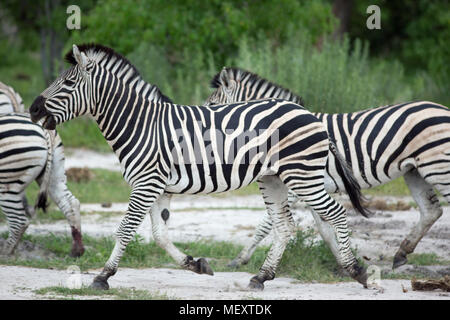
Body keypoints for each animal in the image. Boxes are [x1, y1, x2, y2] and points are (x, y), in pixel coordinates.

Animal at [0, 83, 84, 258]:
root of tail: (43, 128)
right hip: (55, 173)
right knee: (70, 203)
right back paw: (77, 250)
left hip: (6, 182)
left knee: (19, 222)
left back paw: (5, 253)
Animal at [30, 43, 370, 292]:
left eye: (68, 82)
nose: (33, 110)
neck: (141, 124)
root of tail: (310, 114)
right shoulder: (158, 187)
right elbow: (159, 234)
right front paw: (196, 265)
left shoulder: (146, 183)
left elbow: (126, 229)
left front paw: (103, 276)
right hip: (274, 178)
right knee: (286, 226)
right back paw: (261, 277)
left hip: (303, 176)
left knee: (336, 213)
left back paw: (357, 271)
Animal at [205, 67, 450, 270]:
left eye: (213, 107)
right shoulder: (310, 186)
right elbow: (324, 228)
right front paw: (344, 261)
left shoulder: (297, 185)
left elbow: (267, 223)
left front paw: (240, 258)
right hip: (414, 171)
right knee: (431, 210)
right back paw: (401, 254)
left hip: (439, 168)